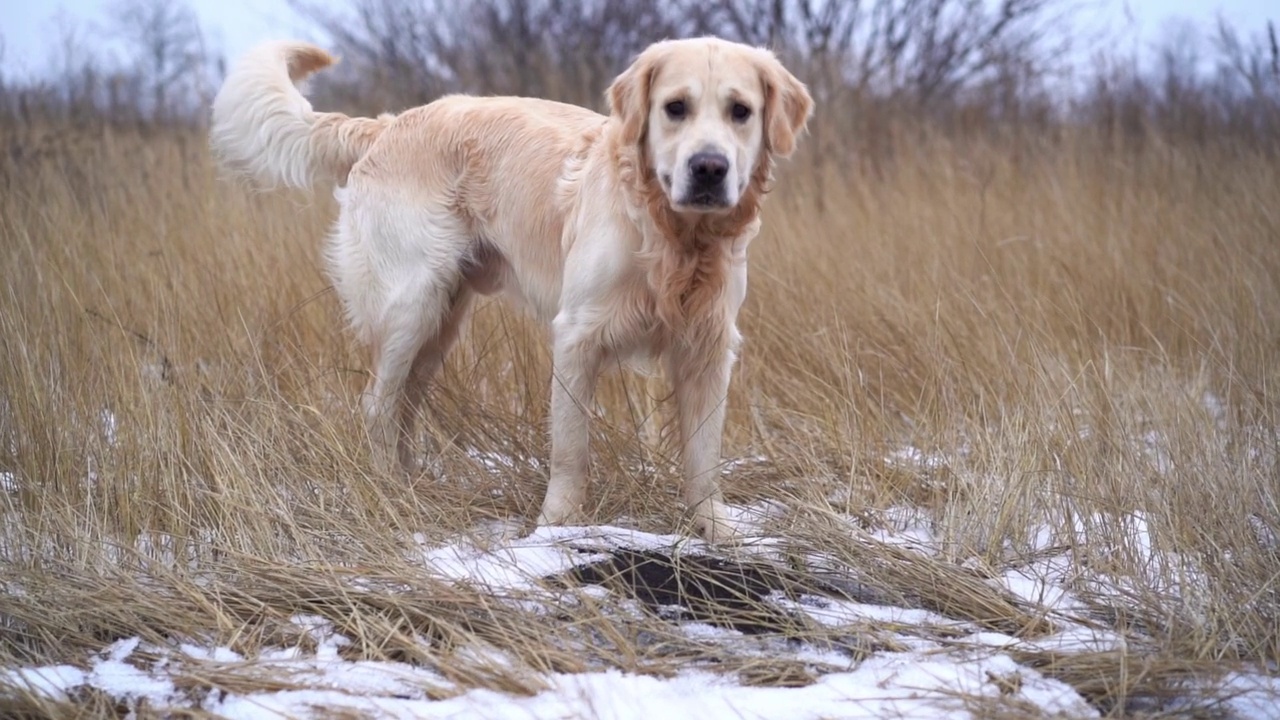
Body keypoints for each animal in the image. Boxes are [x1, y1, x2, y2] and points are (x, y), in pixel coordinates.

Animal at [209, 35, 808, 538]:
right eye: (675, 107)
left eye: (741, 112)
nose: (708, 168)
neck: (673, 239)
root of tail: (389, 124)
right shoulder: (577, 337)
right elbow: (571, 449)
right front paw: (557, 527)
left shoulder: (709, 346)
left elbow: (704, 454)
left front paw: (717, 529)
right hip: (413, 305)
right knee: (378, 405)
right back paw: (390, 492)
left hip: (443, 323)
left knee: (405, 408)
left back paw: (410, 483)